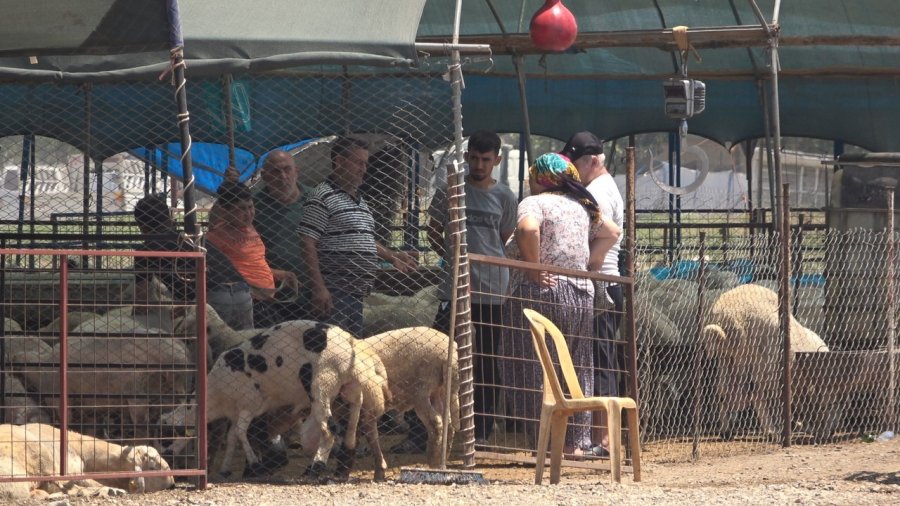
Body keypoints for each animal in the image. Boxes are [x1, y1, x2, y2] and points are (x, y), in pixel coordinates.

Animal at [0, 422, 172, 502]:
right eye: (153, 466)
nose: (172, 483)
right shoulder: (70, 470)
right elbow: (84, 482)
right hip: (41, 456)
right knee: (67, 486)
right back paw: (110, 491)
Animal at [704, 282, 828, 436]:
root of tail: (726, 316)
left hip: (728, 359)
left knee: (724, 389)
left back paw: (726, 429)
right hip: (761, 362)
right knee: (757, 394)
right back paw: (772, 430)